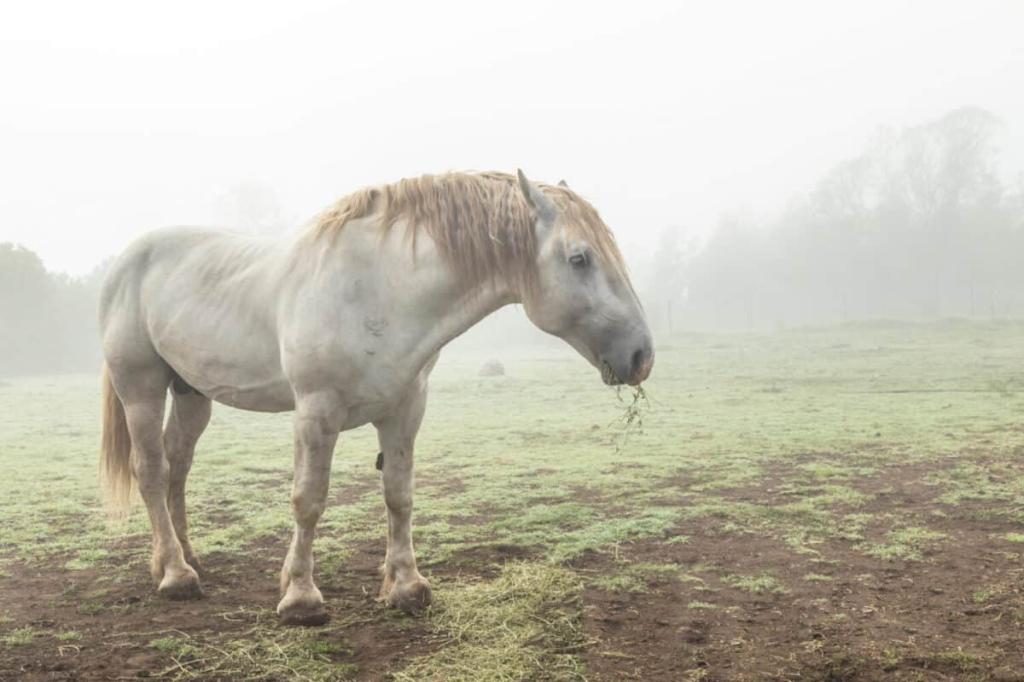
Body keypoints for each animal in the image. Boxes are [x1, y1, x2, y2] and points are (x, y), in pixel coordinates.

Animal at [97, 168, 655, 622]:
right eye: (579, 258)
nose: (641, 355)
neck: (380, 290)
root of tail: (126, 261)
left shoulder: (405, 409)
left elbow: (398, 495)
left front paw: (405, 587)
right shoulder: (316, 412)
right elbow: (308, 500)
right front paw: (301, 597)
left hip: (192, 393)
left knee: (178, 465)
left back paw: (182, 556)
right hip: (140, 388)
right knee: (151, 470)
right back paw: (175, 575)